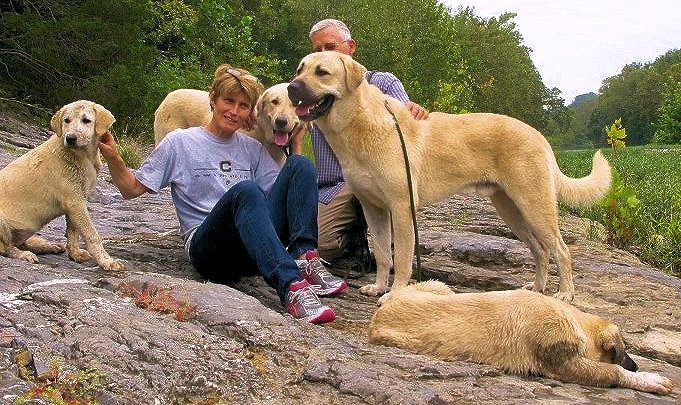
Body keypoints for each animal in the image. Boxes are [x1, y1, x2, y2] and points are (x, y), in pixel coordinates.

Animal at [0, 99, 125, 270]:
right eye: (66, 120)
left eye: (86, 120)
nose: (70, 138)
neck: (80, 156)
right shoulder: (74, 201)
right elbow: (91, 234)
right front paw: (106, 261)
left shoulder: (76, 200)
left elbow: (73, 231)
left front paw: (75, 254)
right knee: (7, 248)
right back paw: (24, 254)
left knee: (18, 242)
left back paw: (48, 245)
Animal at [286, 52, 612, 302]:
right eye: (300, 69)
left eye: (322, 72)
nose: (291, 87)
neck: (359, 122)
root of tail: (538, 135)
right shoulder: (374, 209)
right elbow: (382, 254)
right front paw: (378, 287)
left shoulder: (402, 209)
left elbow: (401, 259)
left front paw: (395, 294)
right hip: (511, 211)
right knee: (540, 250)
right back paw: (536, 288)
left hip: (534, 206)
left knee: (561, 250)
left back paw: (565, 293)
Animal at [370, 280, 672, 392]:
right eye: (622, 350)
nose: (636, 364)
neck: (572, 318)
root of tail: (377, 317)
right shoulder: (562, 364)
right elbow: (613, 372)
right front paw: (651, 379)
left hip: (440, 287)